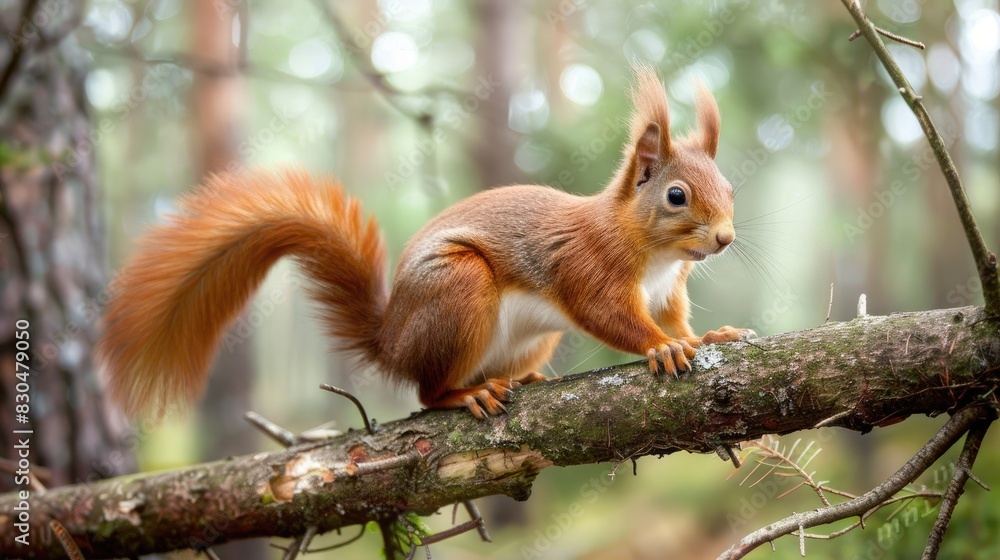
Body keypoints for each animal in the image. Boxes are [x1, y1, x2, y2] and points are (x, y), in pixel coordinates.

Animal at [97, 68, 754, 419]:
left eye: (729, 187)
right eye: (676, 196)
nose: (725, 238)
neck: (654, 253)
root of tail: (392, 342)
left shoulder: (667, 290)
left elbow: (675, 317)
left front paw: (705, 337)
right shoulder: (589, 267)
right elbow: (610, 315)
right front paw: (661, 348)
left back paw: (522, 380)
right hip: (458, 289)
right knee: (425, 391)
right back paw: (467, 395)